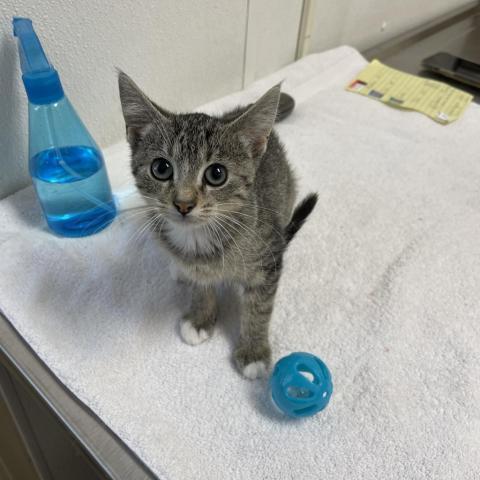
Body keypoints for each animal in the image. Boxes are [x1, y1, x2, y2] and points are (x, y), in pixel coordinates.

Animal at [118, 72, 316, 378]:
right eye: (161, 168)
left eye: (217, 174)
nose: (183, 203)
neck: (198, 239)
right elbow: (201, 286)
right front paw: (201, 318)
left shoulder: (268, 259)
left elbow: (259, 306)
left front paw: (253, 350)